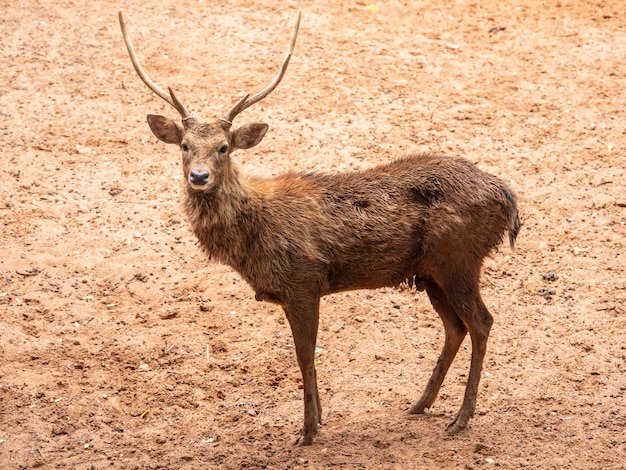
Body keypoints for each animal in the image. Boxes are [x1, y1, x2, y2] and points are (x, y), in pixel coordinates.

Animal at [119, 10, 520, 444]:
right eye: (184, 146)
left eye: (224, 147)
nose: (199, 176)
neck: (253, 240)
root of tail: (506, 198)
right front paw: (319, 419)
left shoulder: (304, 282)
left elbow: (304, 356)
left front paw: (308, 430)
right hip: (430, 273)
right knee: (455, 328)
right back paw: (420, 404)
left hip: (459, 259)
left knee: (481, 322)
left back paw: (461, 418)